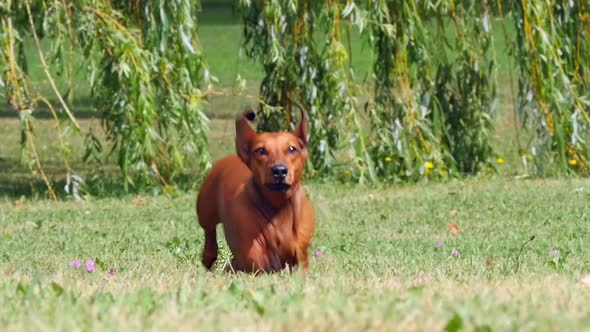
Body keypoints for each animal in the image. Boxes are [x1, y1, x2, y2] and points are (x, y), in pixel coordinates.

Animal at [197, 103, 316, 272]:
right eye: (261, 150)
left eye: (292, 149)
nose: (279, 170)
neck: (278, 208)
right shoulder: (251, 257)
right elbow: (254, 262)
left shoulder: (300, 252)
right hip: (205, 211)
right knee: (209, 232)